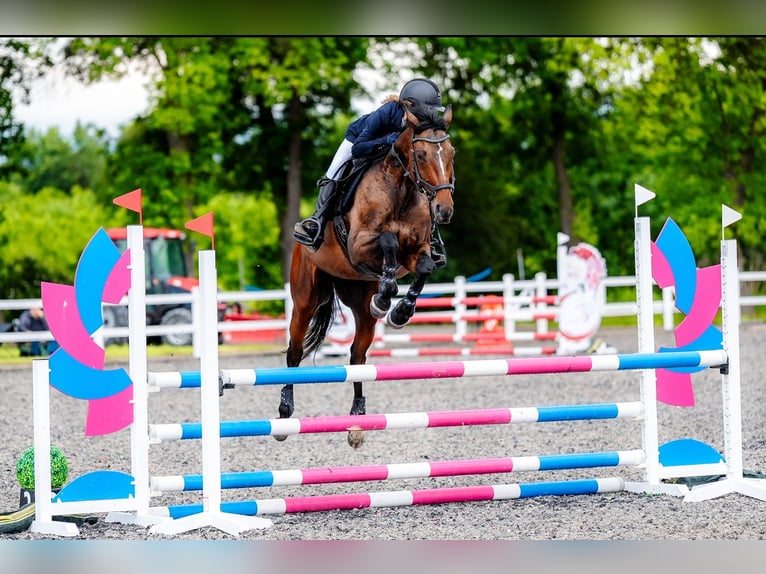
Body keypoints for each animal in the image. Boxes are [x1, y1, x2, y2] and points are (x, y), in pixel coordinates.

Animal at [280, 103, 455, 448]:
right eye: (422, 155)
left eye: (452, 154)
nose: (444, 210)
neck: (402, 188)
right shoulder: (359, 244)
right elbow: (387, 240)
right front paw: (387, 294)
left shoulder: (417, 250)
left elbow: (424, 267)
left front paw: (399, 310)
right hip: (306, 298)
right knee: (295, 352)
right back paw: (283, 413)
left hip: (358, 302)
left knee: (357, 358)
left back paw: (357, 422)